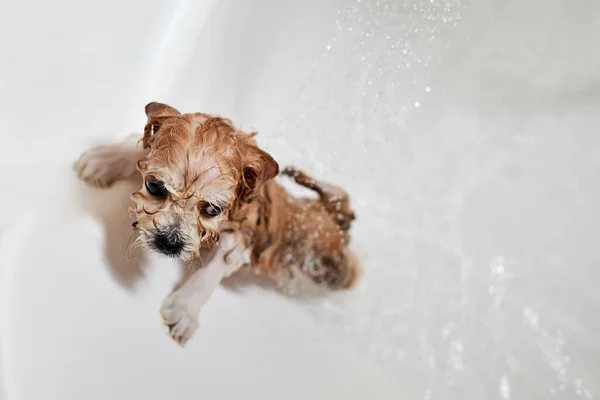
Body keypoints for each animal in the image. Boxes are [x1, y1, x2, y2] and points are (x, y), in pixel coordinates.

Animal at [72, 101, 358, 346]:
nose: (169, 242)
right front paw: (107, 158)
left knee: (344, 204)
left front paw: (185, 309)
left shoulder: (243, 232)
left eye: (212, 209)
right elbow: (144, 147)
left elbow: (213, 269)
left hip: (331, 268)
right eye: (154, 186)